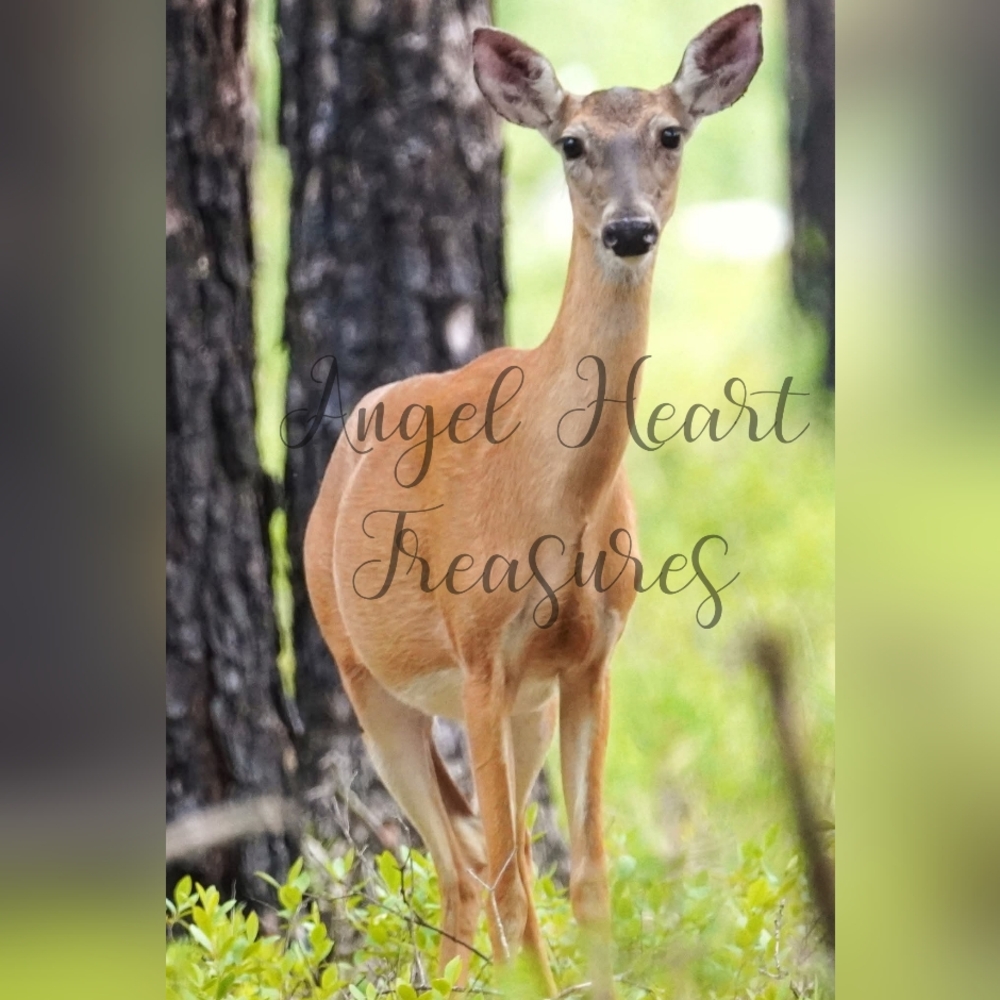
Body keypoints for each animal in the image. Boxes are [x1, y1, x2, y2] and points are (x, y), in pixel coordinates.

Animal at [303, 7, 763, 996]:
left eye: (671, 133)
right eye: (572, 142)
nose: (629, 229)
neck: (551, 500)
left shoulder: (590, 659)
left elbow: (585, 874)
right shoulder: (481, 655)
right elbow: (519, 882)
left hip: (528, 709)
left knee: (475, 867)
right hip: (370, 680)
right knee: (470, 867)